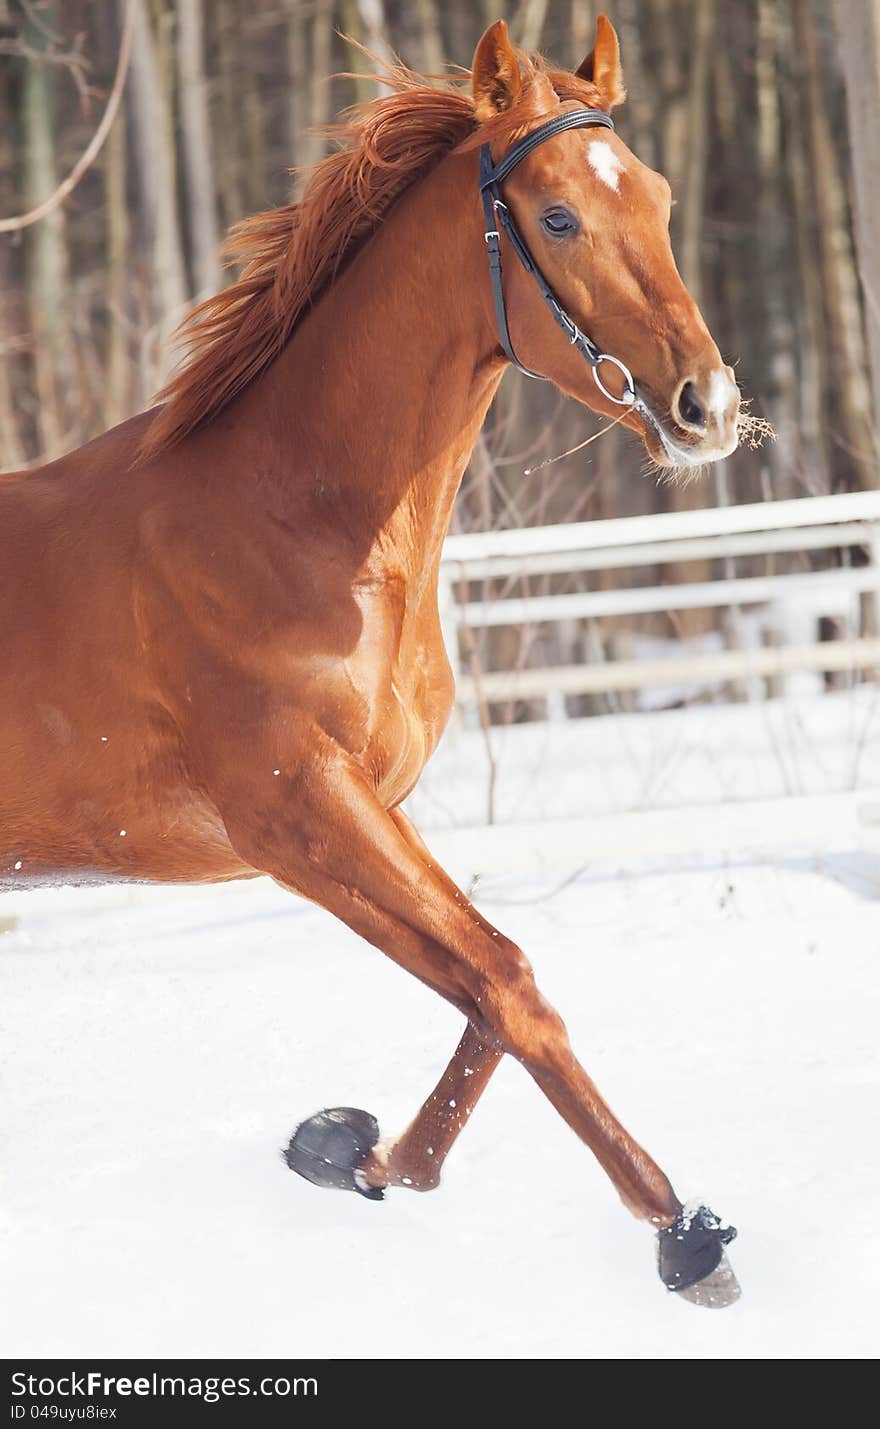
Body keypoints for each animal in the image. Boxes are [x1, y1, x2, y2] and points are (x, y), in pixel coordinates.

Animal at [1, 13, 742, 1308]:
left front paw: (353, 1151)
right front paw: (681, 1230)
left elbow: (493, 981)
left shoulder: (374, 808)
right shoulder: (298, 816)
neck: (305, 527)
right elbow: (505, 981)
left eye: (651, 194)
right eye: (557, 216)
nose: (709, 403)